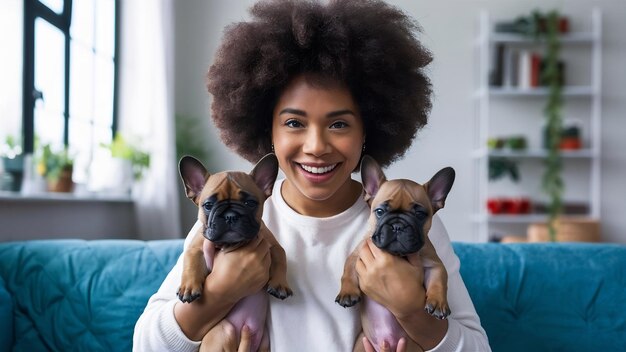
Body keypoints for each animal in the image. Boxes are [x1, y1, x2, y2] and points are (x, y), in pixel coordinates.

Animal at [177, 155, 292, 352]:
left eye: (250, 203)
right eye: (208, 205)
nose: (230, 216)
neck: (231, 244)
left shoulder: (272, 245)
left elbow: (281, 256)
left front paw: (279, 284)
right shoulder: (196, 247)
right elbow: (191, 261)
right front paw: (189, 287)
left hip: (263, 343)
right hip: (223, 331)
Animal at [336, 157, 454, 352]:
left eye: (420, 214)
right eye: (380, 211)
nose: (398, 226)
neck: (398, 254)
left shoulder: (434, 265)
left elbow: (439, 282)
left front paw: (438, 303)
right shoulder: (356, 255)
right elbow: (347, 273)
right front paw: (347, 293)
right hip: (361, 343)